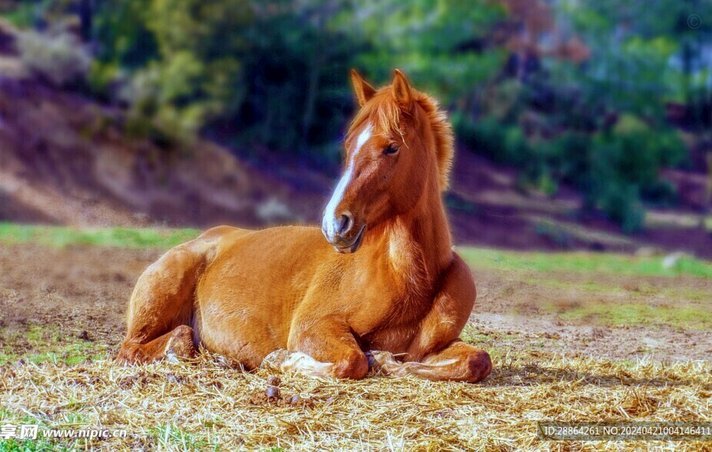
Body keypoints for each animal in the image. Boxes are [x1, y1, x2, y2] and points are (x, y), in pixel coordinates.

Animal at [117, 69, 492, 383]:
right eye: (348, 145)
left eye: (391, 147)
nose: (335, 223)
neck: (408, 278)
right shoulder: (314, 327)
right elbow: (352, 362)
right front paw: (282, 360)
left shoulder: (438, 346)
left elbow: (477, 360)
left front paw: (387, 360)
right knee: (142, 346)